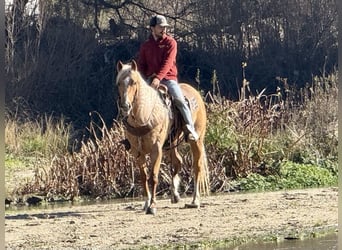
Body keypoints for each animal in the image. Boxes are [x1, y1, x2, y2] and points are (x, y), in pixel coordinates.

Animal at [115, 59, 208, 214]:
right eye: (118, 83)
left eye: (134, 82)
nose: (125, 106)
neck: (144, 115)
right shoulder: (137, 152)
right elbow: (143, 177)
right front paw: (146, 203)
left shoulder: (156, 150)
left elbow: (153, 177)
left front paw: (152, 206)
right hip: (171, 144)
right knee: (177, 162)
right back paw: (175, 195)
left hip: (197, 141)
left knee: (197, 167)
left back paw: (195, 201)